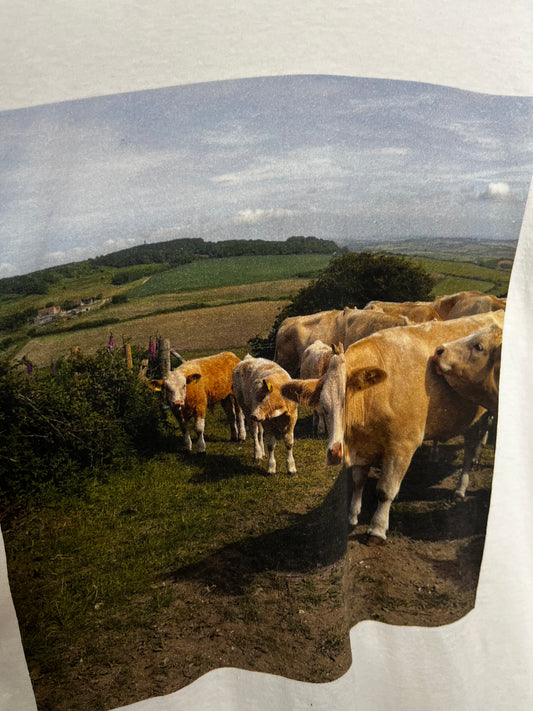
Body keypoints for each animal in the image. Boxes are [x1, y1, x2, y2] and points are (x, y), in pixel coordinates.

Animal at [281, 311, 505, 540]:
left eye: (348, 402)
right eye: (324, 408)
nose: (334, 453)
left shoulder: (402, 447)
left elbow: (385, 490)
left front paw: (378, 528)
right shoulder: (364, 446)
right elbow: (359, 480)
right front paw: (353, 515)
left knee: (470, 448)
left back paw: (461, 486)